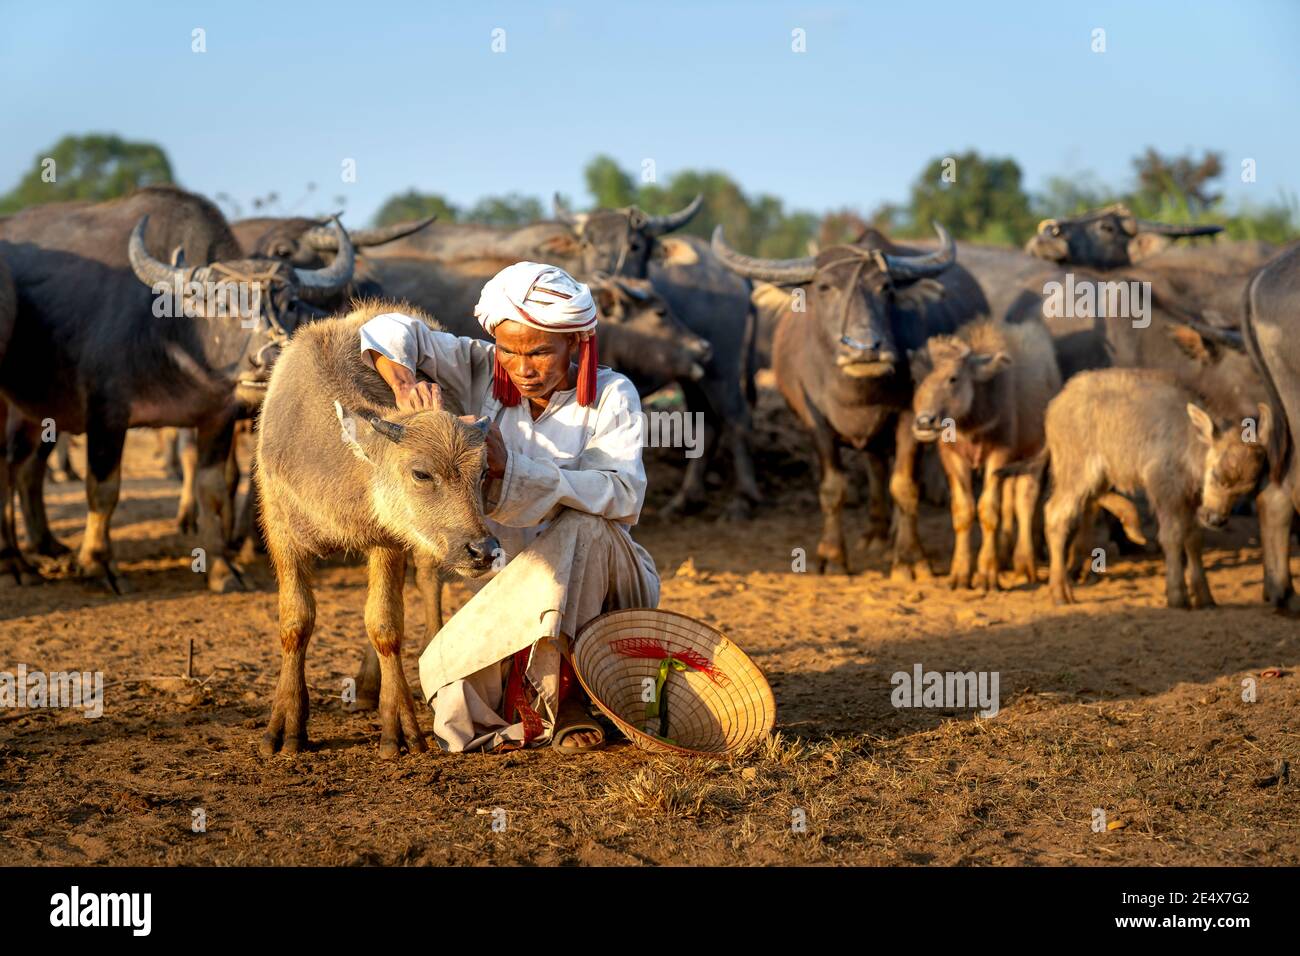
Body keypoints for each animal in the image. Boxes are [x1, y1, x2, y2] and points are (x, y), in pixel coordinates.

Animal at [0, 185, 356, 590]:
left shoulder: (217, 418)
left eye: (291, 302)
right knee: (6, 471)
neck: (171, 332)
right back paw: (14, 562)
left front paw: (221, 566)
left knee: (24, 469)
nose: (266, 360)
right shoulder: (106, 413)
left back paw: (44, 545)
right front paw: (97, 562)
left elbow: (212, 489)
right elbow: (103, 489)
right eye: (223, 304)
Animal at [712, 222, 982, 574]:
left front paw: (910, 558)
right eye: (825, 287)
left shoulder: (913, 417)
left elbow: (905, 486)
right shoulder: (815, 421)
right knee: (876, 467)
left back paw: (892, 538)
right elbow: (832, 488)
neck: (858, 392)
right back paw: (876, 535)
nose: (865, 349)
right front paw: (831, 556)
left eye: (886, 288)